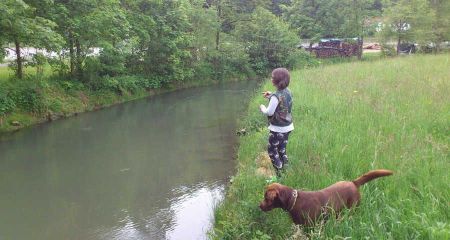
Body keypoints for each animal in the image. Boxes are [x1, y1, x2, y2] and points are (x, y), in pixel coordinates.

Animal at [258, 169, 392, 225]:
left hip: (352, 209)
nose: (259, 206)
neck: (294, 201)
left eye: (266, 198)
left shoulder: (311, 227)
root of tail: (353, 182)